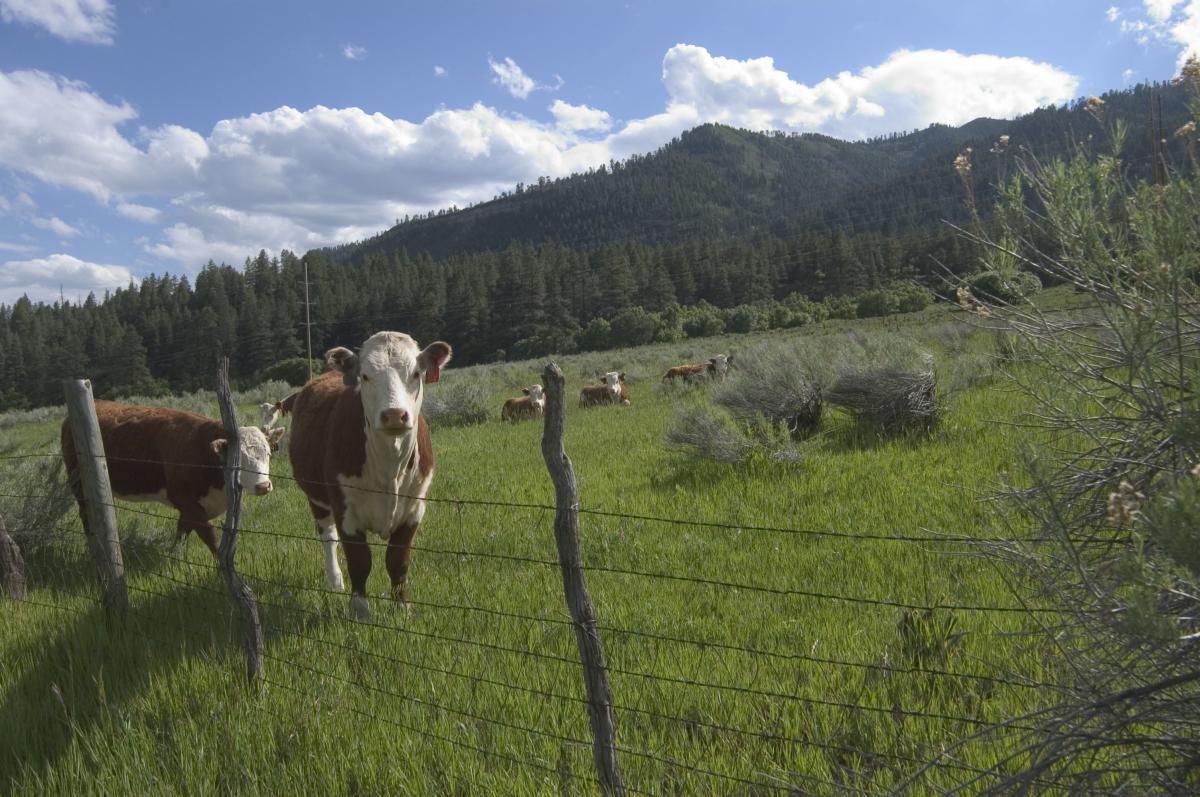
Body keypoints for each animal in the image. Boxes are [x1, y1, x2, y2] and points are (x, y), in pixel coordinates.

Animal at [60, 401, 285, 555]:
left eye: (268, 453)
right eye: (239, 460)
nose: (263, 486)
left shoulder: (193, 506)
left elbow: (182, 530)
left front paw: (174, 553)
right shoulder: (184, 499)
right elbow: (209, 535)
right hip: (78, 485)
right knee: (86, 517)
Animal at [286, 332, 452, 619]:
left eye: (416, 373)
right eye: (365, 376)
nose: (394, 415)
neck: (390, 465)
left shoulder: (415, 508)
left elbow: (398, 561)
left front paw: (402, 607)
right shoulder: (345, 511)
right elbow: (359, 560)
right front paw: (360, 609)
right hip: (316, 498)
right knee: (327, 536)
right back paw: (334, 579)